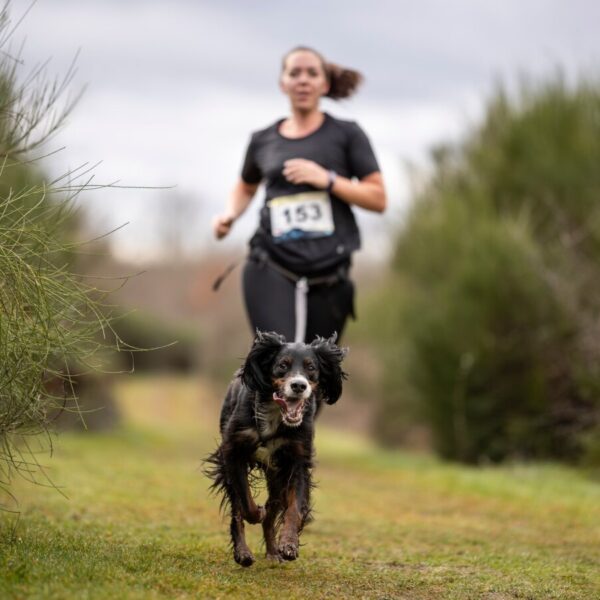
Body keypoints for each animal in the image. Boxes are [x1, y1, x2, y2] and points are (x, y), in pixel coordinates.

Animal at [206, 332, 346, 568]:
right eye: (282, 365)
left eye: (311, 367)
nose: (299, 386)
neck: (275, 415)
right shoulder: (233, 454)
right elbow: (245, 503)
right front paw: (256, 514)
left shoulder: (297, 462)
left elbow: (295, 508)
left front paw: (289, 543)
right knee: (238, 509)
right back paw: (243, 553)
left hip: (277, 477)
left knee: (273, 511)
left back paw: (273, 551)